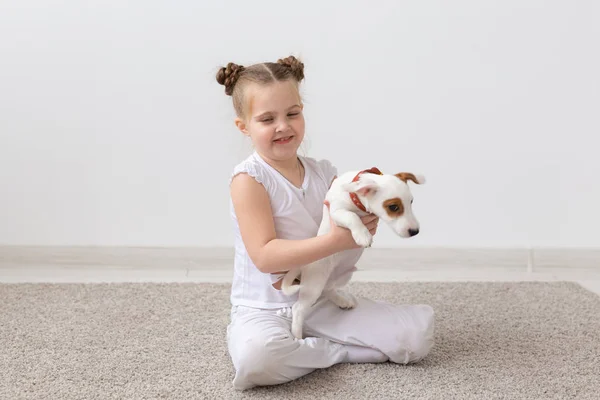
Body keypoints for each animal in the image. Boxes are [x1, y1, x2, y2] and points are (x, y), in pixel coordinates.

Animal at [282, 167, 426, 340]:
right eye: (393, 207)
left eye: (411, 202)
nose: (415, 232)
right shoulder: (336, 211)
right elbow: (352, 216)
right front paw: (362, 235)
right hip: (314, 283)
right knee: (298, 308)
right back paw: (297, 336)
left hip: (342, 276)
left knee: (328, 289)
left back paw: (342, 301)